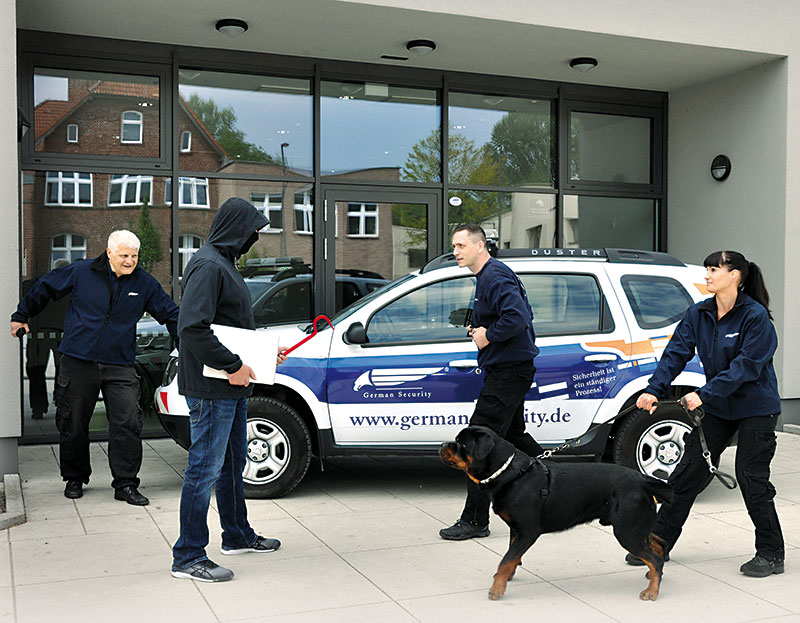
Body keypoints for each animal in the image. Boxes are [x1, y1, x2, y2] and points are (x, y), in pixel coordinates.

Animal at [440, 426, 672, 604]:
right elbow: (511, 556)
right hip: (635, 525)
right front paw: (507, 576)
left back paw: (652, 591)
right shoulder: (516, 529)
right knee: (659, 545)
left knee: (655, 558)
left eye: (461, 445)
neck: (509, 474)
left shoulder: (528, 531)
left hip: (626, 530)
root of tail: (643, 480)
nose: (443, 445)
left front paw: (497, 588)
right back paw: (653, 575)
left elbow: (505, 560)